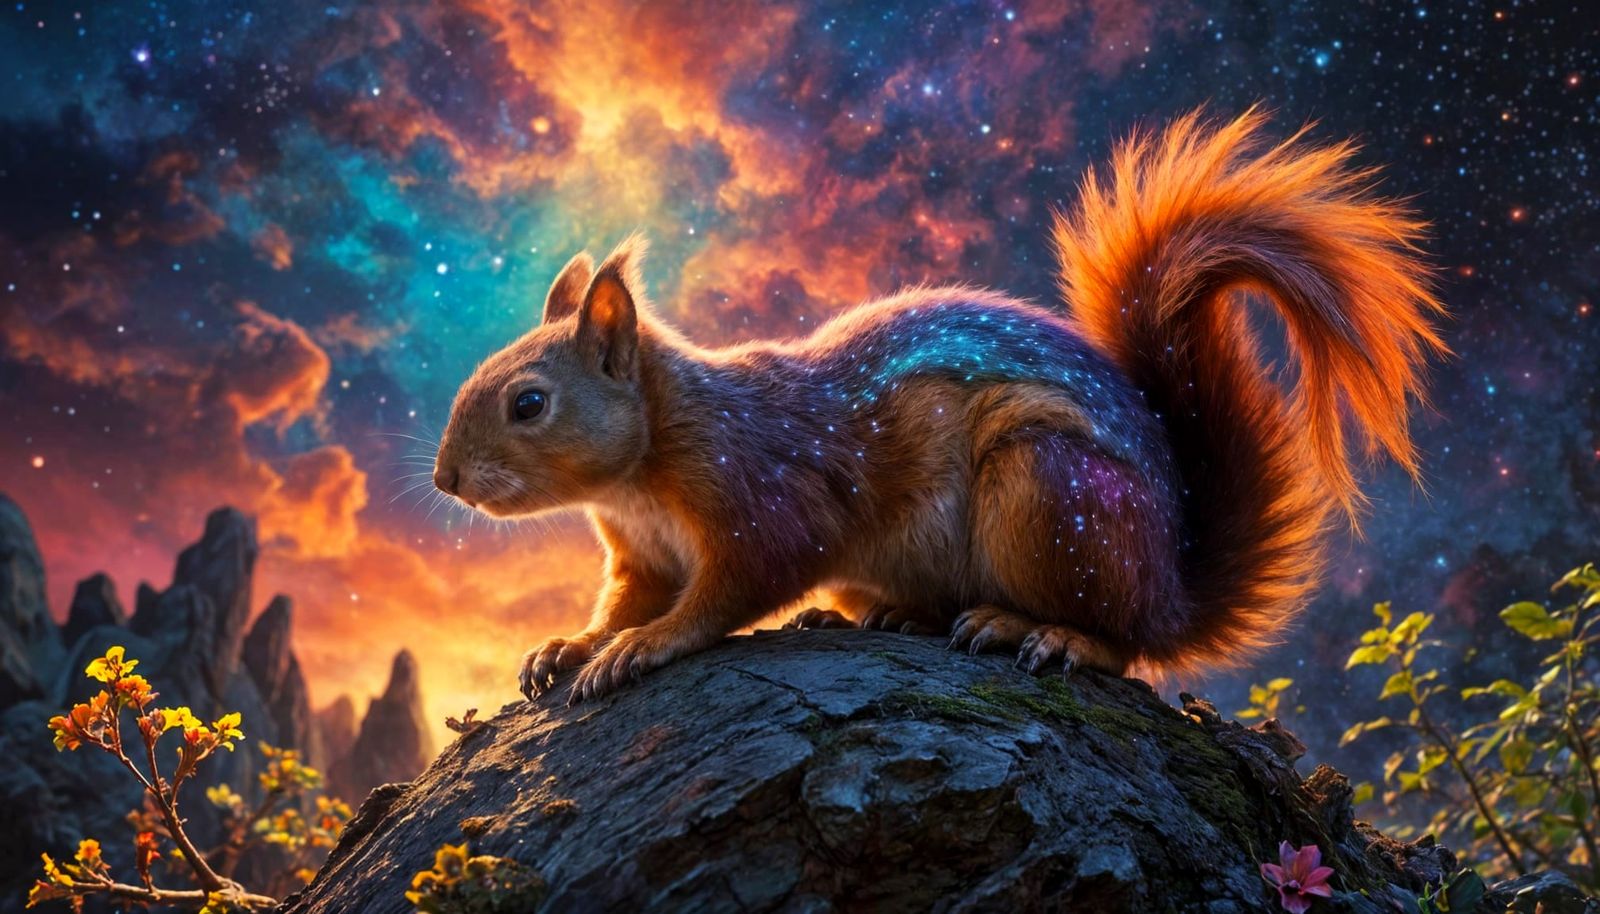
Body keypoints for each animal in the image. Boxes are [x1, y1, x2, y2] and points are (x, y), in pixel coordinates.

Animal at [433, 108, 1446, 703]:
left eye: (529, 403)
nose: (444, 480)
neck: (639, 475)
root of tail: (1171, 583)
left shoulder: (762, 491)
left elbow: (733, 586)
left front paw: (645, 646)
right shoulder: (639, 552)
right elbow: (625, 598)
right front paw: (571, 643)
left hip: (1050, 493)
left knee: (1128, 645)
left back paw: (1039, 633)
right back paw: (894, 617)